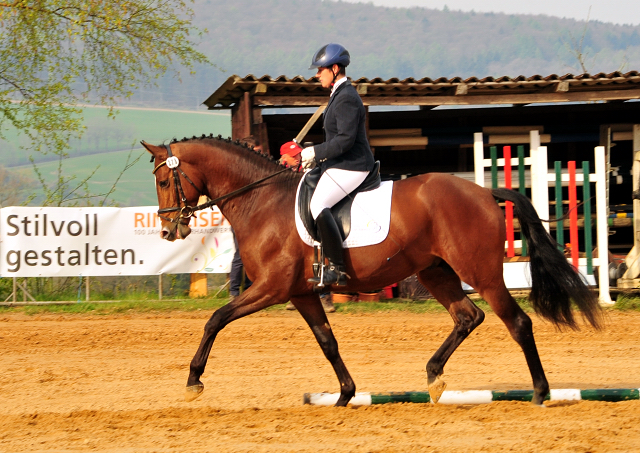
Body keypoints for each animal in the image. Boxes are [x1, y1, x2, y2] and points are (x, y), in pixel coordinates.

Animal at [139, 134, 600, 406]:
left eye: (163, 181)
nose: (168, 229)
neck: (260, 201)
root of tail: (483, 191)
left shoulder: (271, 287)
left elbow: (215, 319)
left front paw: (194, 380)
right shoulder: (300, 293)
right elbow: (328, 342)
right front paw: (345, 395)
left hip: (481, 272)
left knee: (517, 322)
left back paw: (540, 393)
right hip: (435, 271)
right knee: (468, 316)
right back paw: (434, 377)